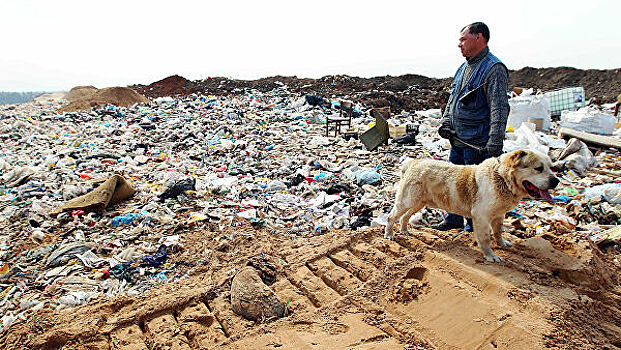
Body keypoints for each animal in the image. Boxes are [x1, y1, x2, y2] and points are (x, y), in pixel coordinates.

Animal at [386, 149, 560, 262]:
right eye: (538, 168)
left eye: (550, 167)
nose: (556, 181)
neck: (502, 178)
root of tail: (413, 162)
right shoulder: (481, 216)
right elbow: (485, 238)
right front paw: (490, 255)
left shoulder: (499, 214)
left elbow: (498, 232)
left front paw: (502, 243)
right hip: (407, 201)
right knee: (391, 216)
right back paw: (389, 235)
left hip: (418, 203)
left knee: (405, 217)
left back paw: (404, 230)